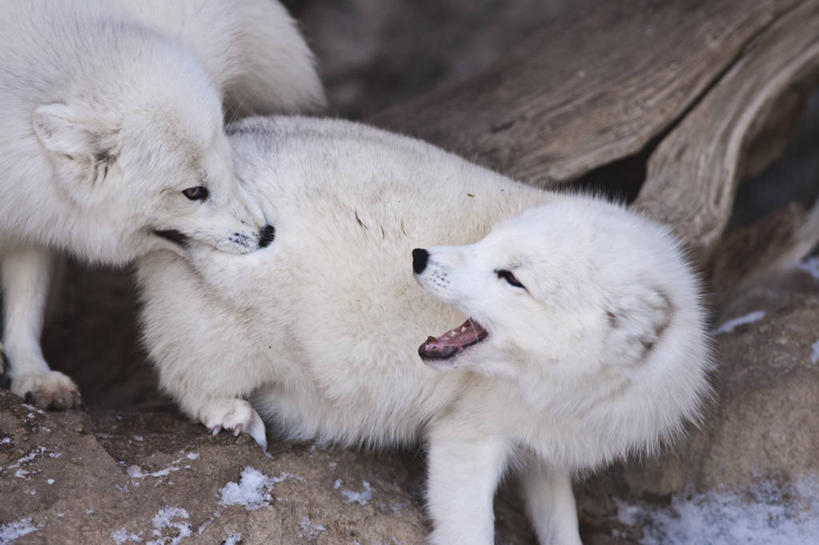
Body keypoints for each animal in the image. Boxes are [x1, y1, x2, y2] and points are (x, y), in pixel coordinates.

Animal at [0, 1, 326, 408]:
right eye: (193, 192)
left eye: (228, 162)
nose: (266, 233)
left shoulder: (31, 215)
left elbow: (25, 304)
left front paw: (33, 373)